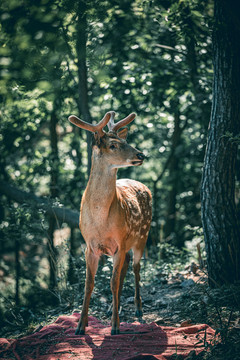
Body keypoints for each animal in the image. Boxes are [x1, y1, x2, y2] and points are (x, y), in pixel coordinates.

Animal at [68, 112, 152, 334]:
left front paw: (115, 326)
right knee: (126, 268)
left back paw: (138, 308)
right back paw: (115, 307)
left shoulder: (120, 243)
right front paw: (81, 326)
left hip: (142, 236)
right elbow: (89, 284)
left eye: (126, 141)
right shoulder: (90, 246)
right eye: (113, 145)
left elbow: (112, 282)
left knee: (136, 268)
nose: (141, 155)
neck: (101, 222)